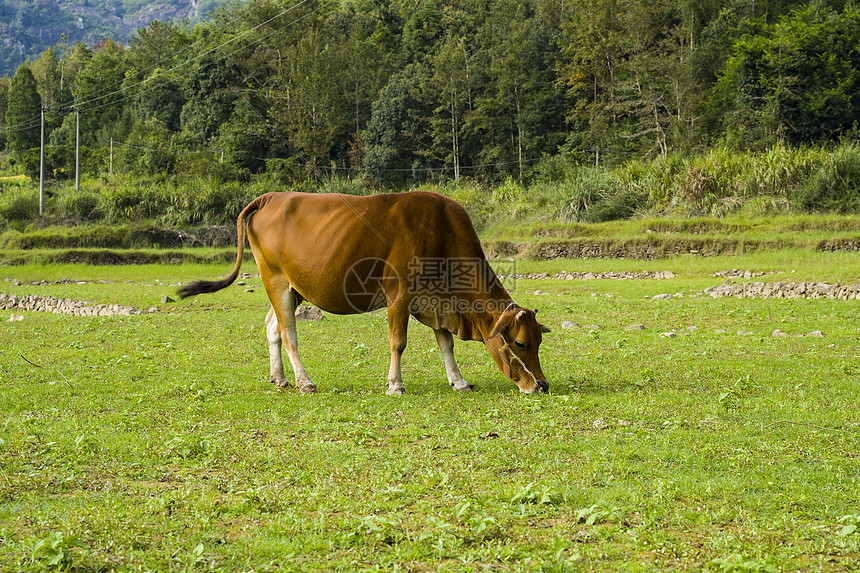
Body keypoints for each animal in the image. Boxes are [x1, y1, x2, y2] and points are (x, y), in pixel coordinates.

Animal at [179, 191, 552, 394]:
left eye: (538, 341)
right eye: (520, 343)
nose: (542, 385)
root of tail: (271, 197)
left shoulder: (435, 299)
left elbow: (445, 343)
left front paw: (458, 381)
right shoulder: (399, 295)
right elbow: (398, 343)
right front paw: (395, 385)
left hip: (294, 287)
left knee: (271, 327)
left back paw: (280, 378)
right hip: (276, 281)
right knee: (288, 333)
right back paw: (304, 381)